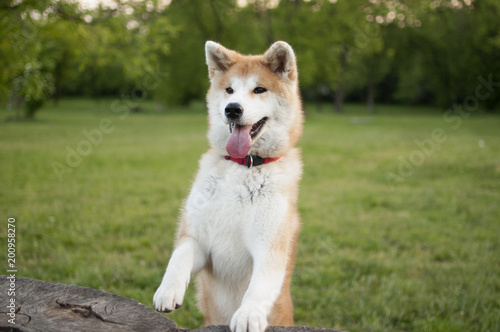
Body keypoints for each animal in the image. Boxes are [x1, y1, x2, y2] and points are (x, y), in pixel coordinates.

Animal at [152, 40, 302, 332]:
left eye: (259, 89)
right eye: (229, 90)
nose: (232, 108)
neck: (243, 168)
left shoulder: (270, 246)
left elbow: (257, 288)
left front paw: (248, 313)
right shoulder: (198, 239)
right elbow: (178, 257)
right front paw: (167, 290)